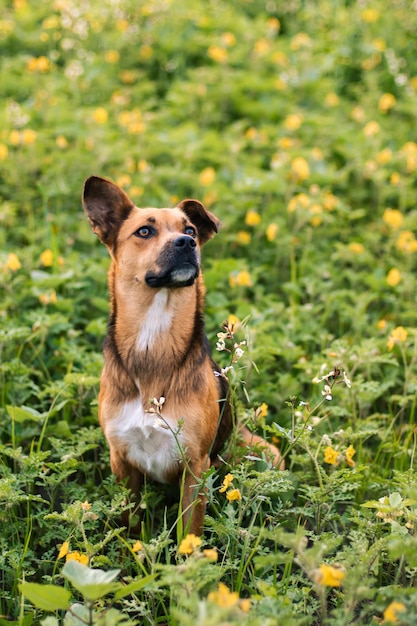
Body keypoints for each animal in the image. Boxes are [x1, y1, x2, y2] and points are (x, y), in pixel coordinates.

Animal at [82, 174, 282, 532]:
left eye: (190, 229)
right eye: (144, 231)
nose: (186, 243)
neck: (154, 339)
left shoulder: (194, 466)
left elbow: (189, 530)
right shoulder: (121, 459)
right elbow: (131, 521)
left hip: (266, 454)